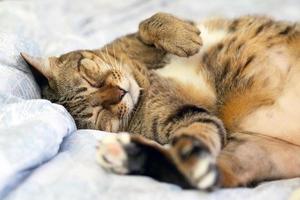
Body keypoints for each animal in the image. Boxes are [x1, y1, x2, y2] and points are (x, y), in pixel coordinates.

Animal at [22, 12, 300, 191]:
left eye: (90, 78)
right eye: (99, 113)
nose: (118, 93)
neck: (143, 78)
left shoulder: (139, 40)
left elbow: (148, 22)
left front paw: (183, 37)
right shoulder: (183, 115)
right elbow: (200, 130)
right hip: (254, 152)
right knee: (201, 176)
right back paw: (131, 155)